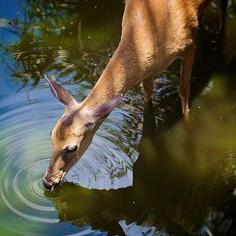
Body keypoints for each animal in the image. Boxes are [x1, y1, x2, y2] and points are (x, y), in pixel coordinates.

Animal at [43, 0, 217, 189]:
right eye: (51, 134)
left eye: (72, 148)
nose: (47, 181)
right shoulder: (147, 71)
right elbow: (147, 96)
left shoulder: (188, 44)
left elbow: (184, 92)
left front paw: (189, 131)